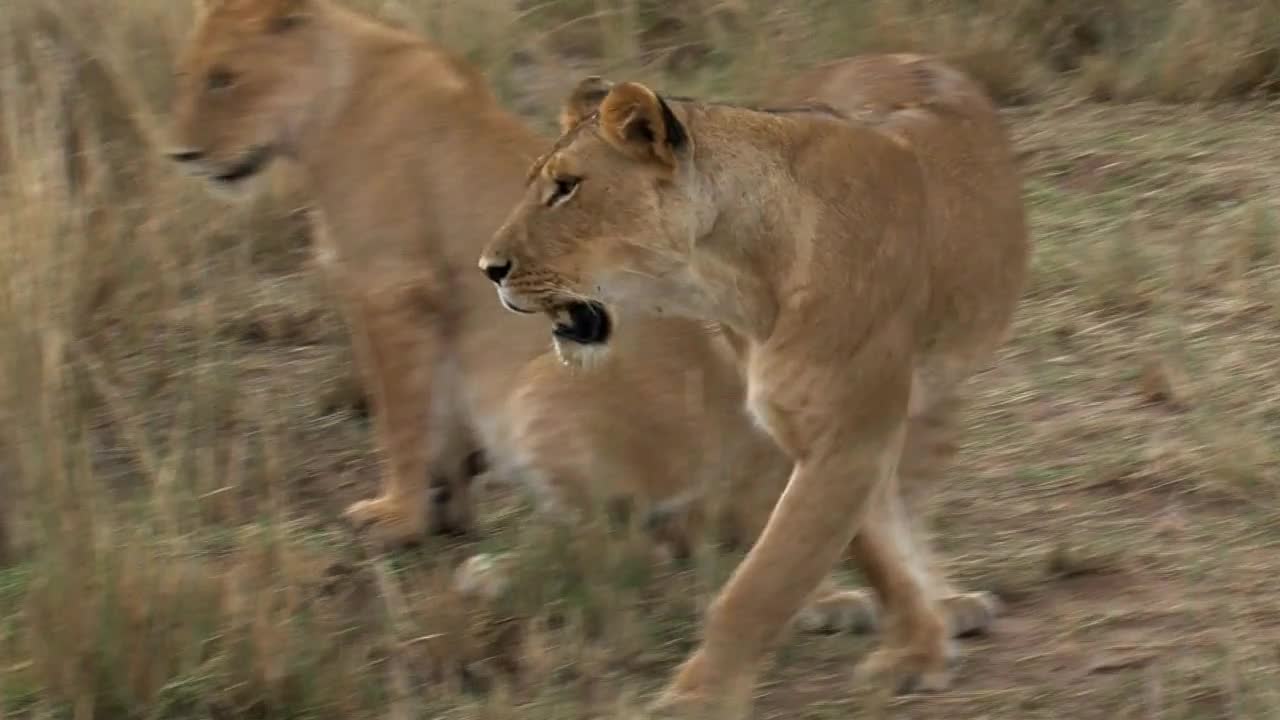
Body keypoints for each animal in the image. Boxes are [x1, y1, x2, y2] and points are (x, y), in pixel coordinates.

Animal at [481, 50, 1029, 717]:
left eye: (566, 187)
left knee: (916, 487)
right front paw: (918, 644)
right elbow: (872, 552)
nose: (489, 269)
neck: (737, 276)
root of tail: (898, 54)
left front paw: (697, 699)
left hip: (941, 388)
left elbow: (761, 584)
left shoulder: (849, 437)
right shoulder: (807, 431)